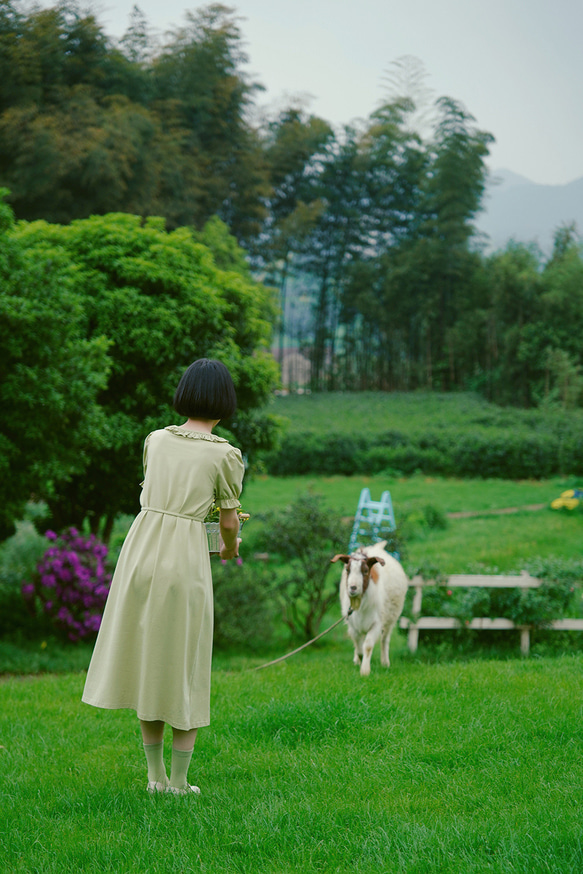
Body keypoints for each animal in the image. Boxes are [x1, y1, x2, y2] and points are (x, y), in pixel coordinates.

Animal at [330, 540, 408, 676]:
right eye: (347, 570)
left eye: (365, 571)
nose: (353, 588)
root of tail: (377, 547)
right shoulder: (353, 625)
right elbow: (358, 646)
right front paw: (359, 660)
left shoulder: (377, 623)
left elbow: (367, 646)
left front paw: (365, 671)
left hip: (391, 618)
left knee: (385, 640)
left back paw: (385, 663)